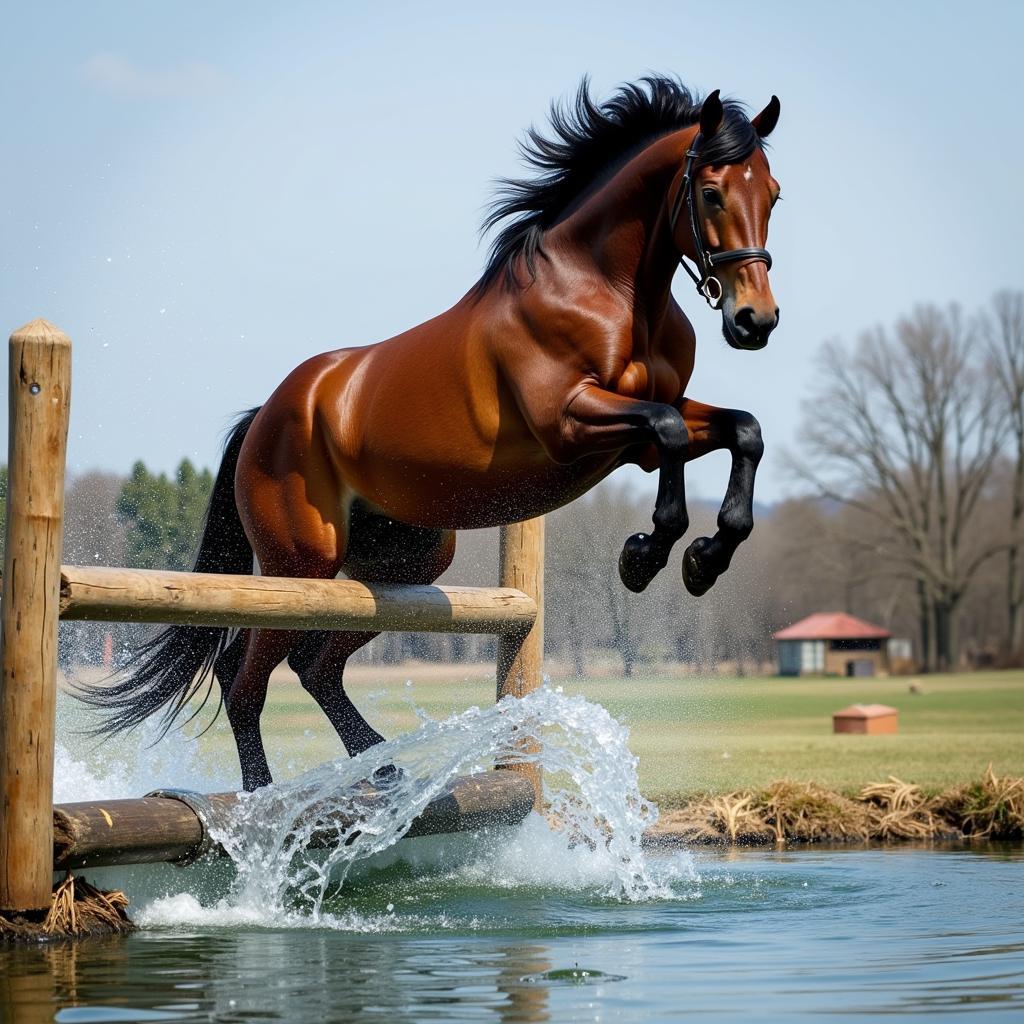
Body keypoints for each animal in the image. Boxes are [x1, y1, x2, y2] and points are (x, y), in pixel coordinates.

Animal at [77, 77, 782, 790]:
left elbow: (742, 432)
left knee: (315, 665)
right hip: (300, 563)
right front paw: (646, 556)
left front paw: (703, 559)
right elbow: (669, 434)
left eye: (774, 194)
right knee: (244, 677)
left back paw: (382, 767)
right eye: (713, 192)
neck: (608, 289)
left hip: (403, 563)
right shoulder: (573, 422)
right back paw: (262, 795)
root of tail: (266, 415)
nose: (756, 321)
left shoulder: (639, 432)